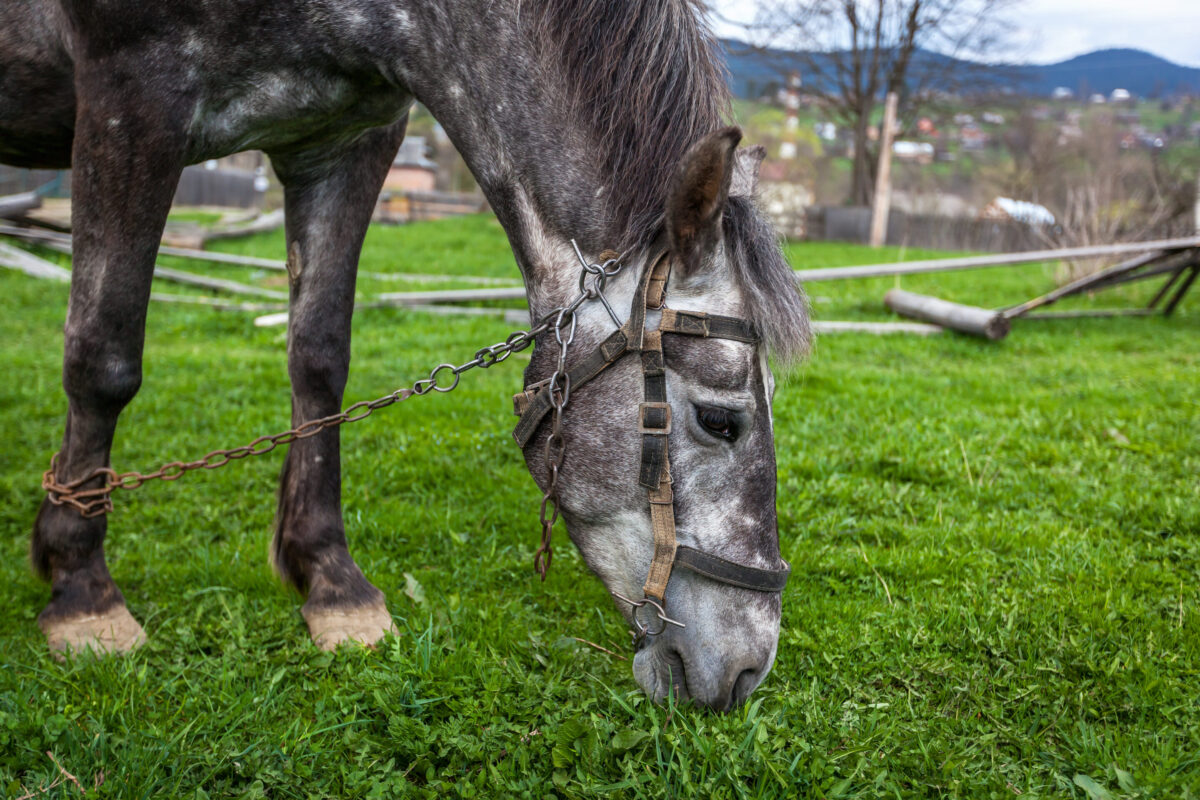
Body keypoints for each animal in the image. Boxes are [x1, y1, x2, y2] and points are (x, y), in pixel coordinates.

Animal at [2, 0, 810, 711]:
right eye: (720, 421)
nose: (748, 668)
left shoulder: (346, 139)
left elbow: (320, 355)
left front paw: (331, 581)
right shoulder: (131, 102)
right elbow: (104, 354)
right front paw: (82, 588)